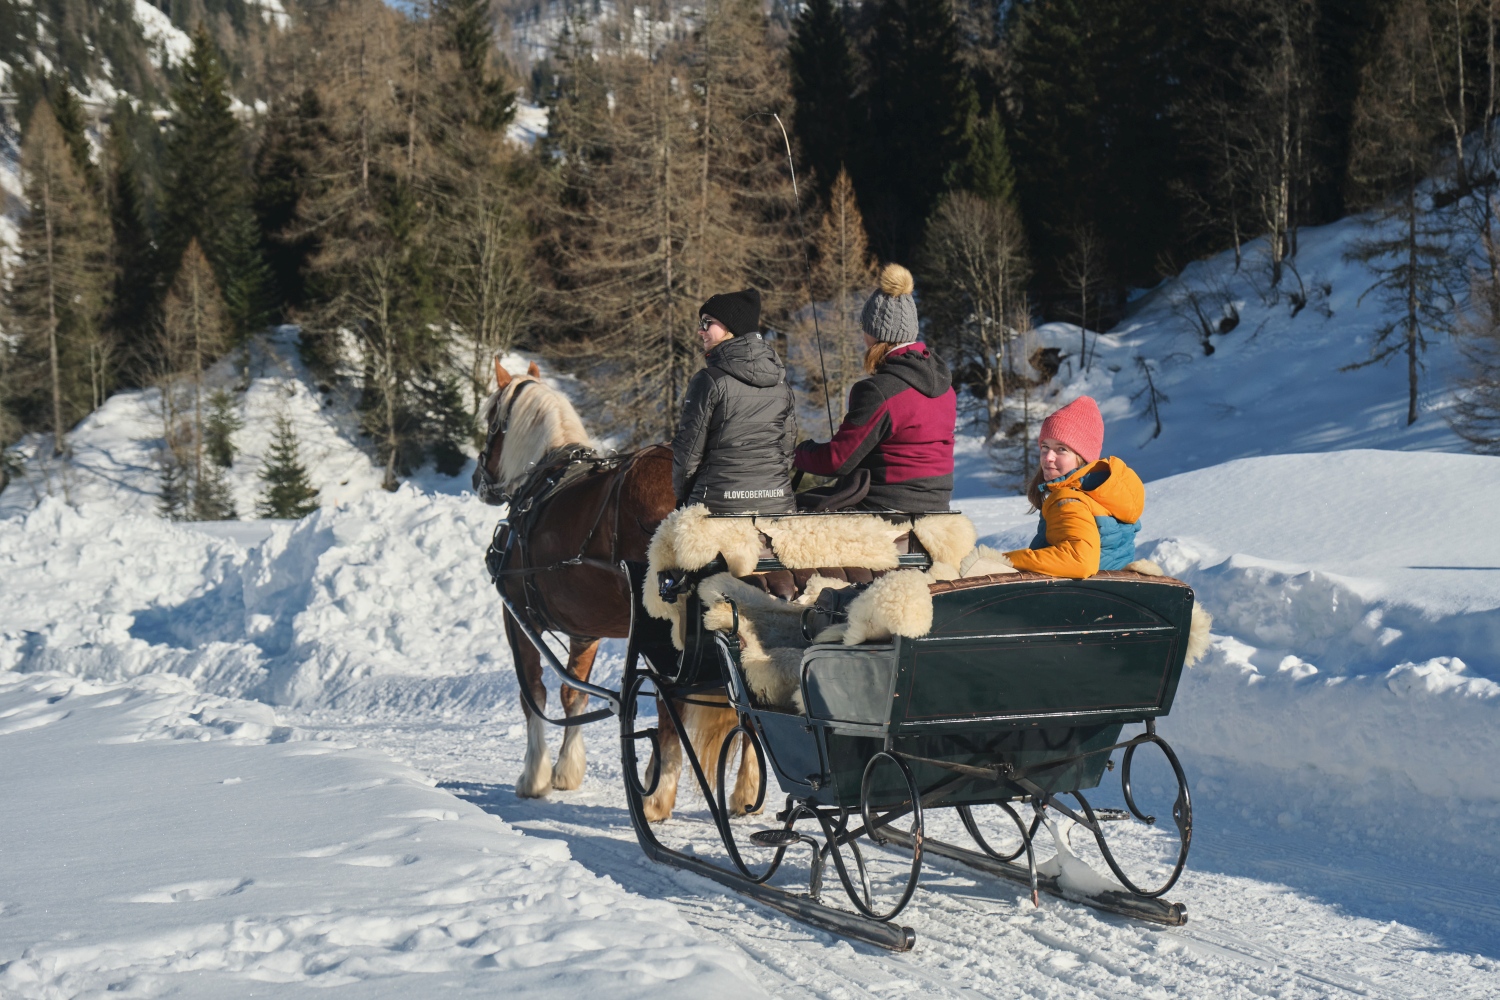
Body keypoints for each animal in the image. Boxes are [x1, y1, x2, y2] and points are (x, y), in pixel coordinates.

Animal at [474, 359, 756, 821]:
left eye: (489, 421)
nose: (478, 479)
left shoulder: (518, 619)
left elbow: (532, 693)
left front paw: (534, 776)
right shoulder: (584, 630)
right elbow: (573, 694)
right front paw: (567, 770)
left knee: (671, 703)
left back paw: (658, 795)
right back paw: (745, 790)